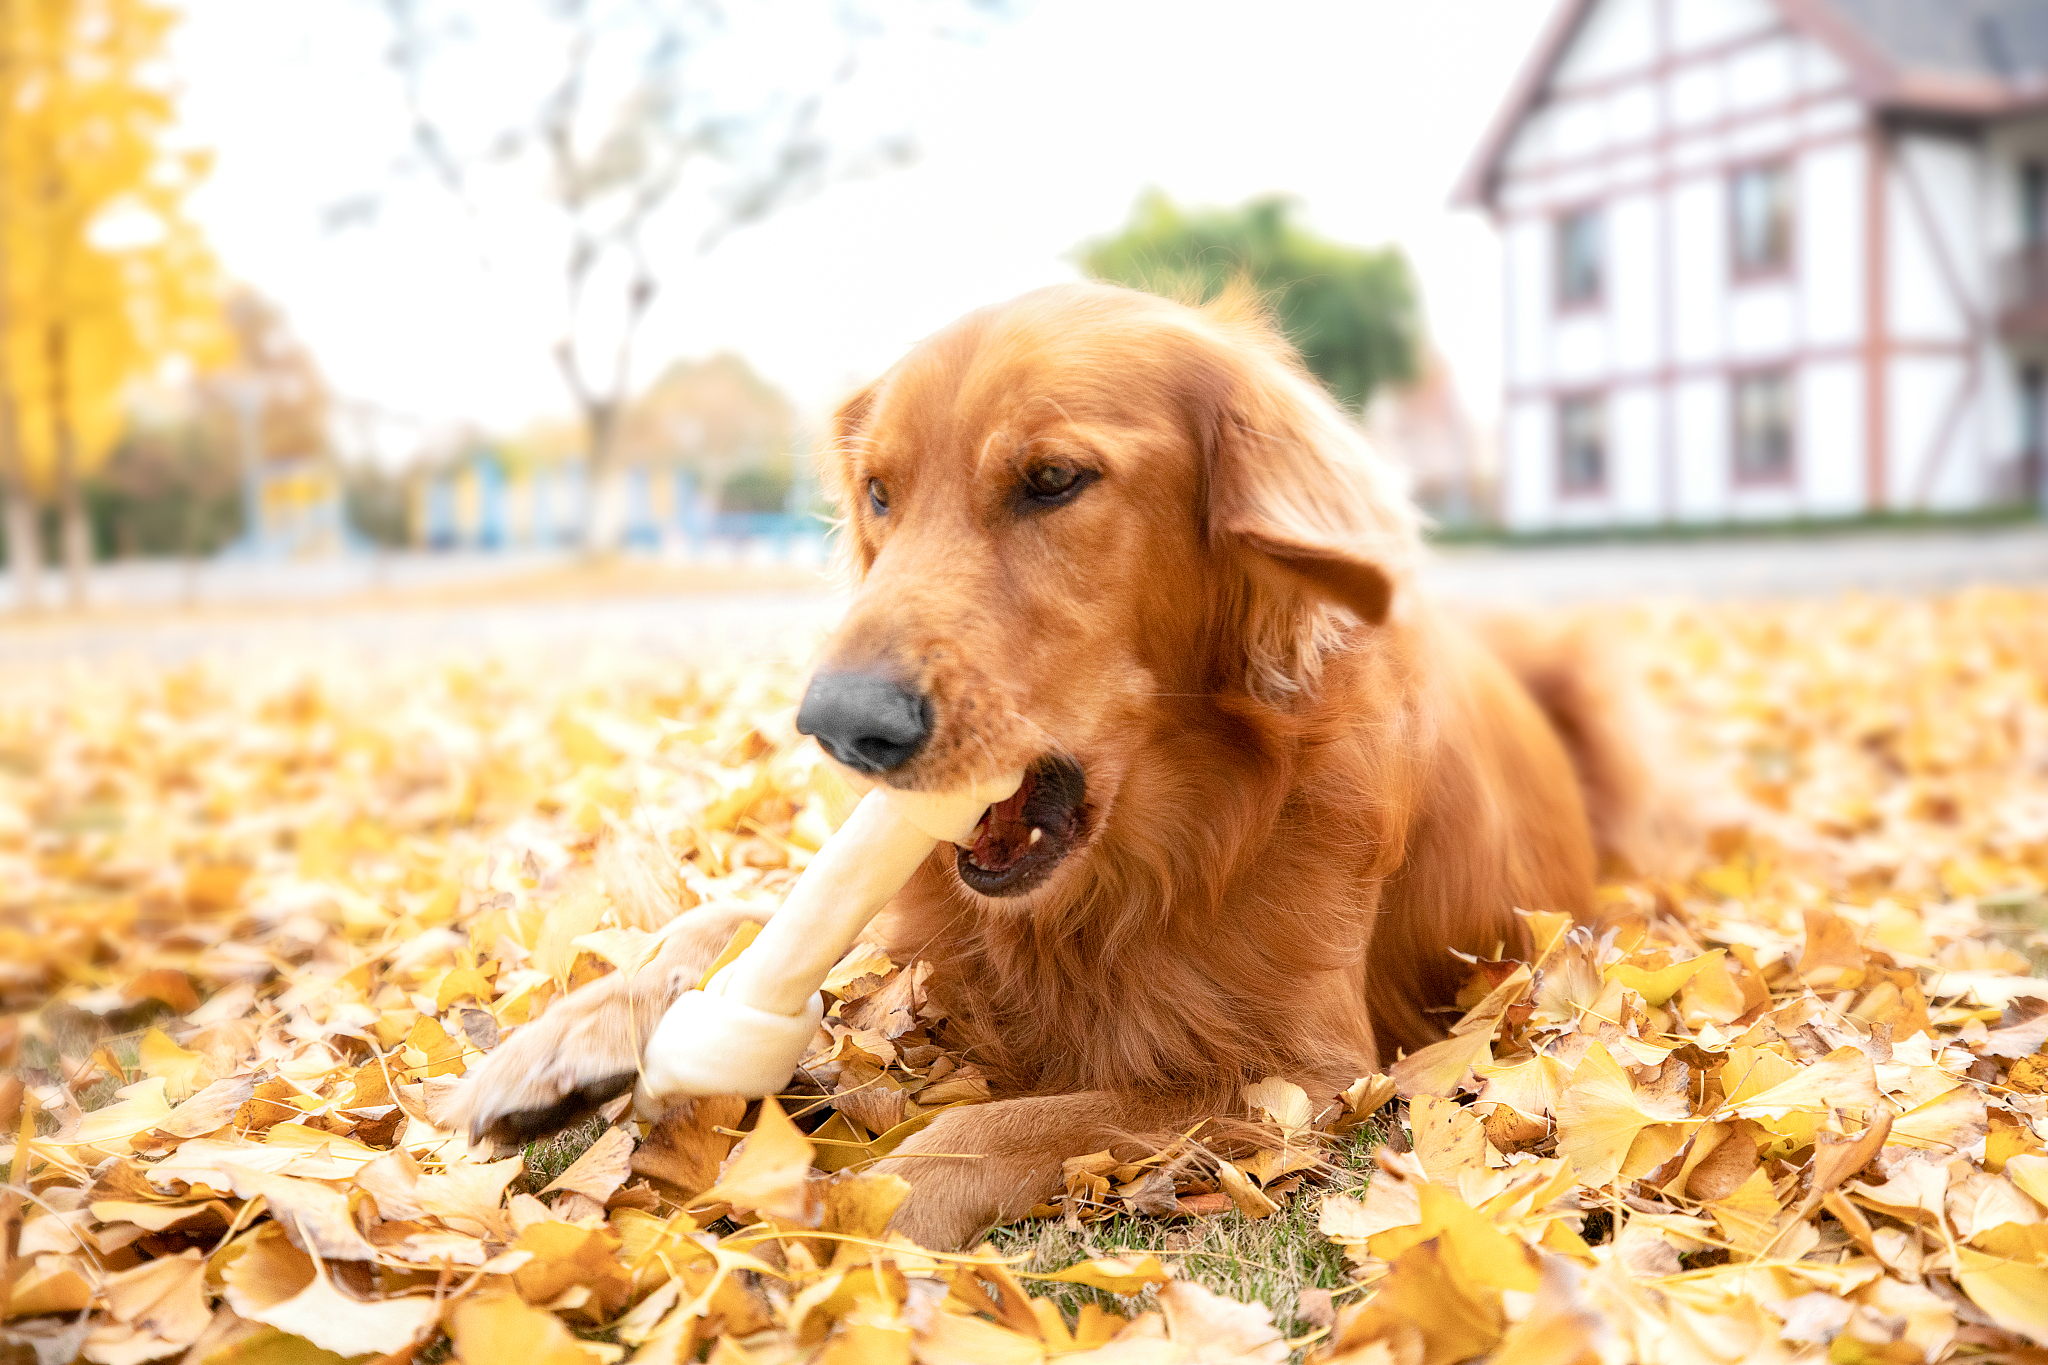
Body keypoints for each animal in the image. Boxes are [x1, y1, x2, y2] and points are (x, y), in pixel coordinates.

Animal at [456, 282, 1654, 1252]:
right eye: (879, 492)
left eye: (1052, 479)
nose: (839, 726)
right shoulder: (921, 918)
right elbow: (737, 915)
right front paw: (566, 1039)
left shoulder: (1305, 1075)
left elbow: (1009, 1120)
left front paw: (850, 1219)